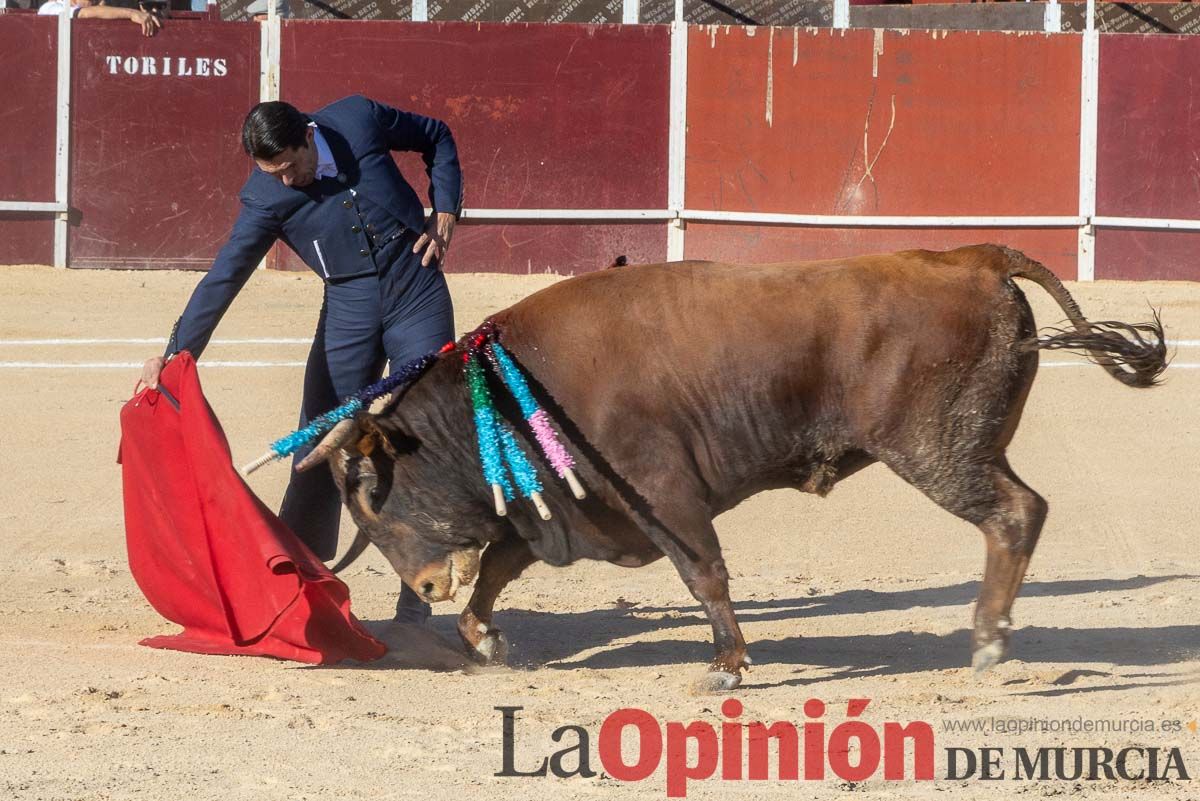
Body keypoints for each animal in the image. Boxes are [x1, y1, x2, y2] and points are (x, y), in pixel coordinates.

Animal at [297, 244, 1161, 690]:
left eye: (368, 497)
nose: (425, 587)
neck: (512, 380)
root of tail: (971, 256)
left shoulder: (661, 490)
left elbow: (703, 571)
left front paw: (728, 665)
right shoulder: (573, 507)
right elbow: (503, 565)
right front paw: (482, 637)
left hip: (938, 449)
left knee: (1016, 512)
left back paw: (986, 642)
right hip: (967, 444)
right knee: (1019, 512)